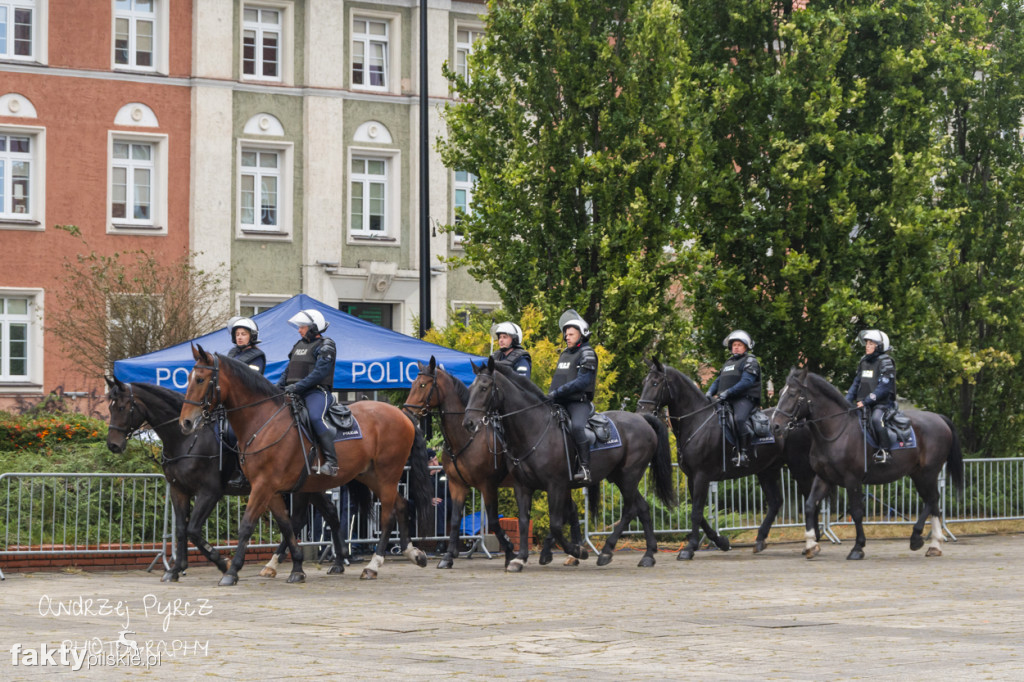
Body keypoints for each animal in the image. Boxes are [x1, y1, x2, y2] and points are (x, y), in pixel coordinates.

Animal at [100, 376, 356, 577]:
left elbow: (193, 530)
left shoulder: (209, 492)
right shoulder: (178, 489)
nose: (113, 445)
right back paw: (336, 560)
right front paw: (176, 569)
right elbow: (182, 530)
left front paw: (222, 563)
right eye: (110, 408)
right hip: (309, 486)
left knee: (301, 519)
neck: (186, 438)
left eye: (122, 407)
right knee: (327, 513)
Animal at [178, 346, 430, 585]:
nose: (186, 422)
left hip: (387, 474)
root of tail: (402, 415)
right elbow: (287, 526)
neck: (263, 422)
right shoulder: (272, 490)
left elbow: (248, 525)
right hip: (369, 475)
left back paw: (373, 565)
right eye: (188, 377)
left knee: (387, 515)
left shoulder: (263, 486)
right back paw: (412, 553)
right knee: (400, 504)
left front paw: (231, 571)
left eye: (200, 379)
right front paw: (296, 568)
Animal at [462, 356, 671, 569]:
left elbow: (555, 524)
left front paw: (577, 551)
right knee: (642, 507)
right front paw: (520, 558)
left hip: (629, 476)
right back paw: (648, 555)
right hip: (619, 477)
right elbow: (524, 521)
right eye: (471, 389)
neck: (534, 429)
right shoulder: (522, 486)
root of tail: (642, 419)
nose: (468, 423)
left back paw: (606, 551)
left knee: (630, 509)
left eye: (484, 388)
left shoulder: (556, 485)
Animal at [634, 356, 819, 557]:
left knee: (809, 498)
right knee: (776, 502)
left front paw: (690, 549)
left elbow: (696, 513)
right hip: (767, 470)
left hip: (799, 466)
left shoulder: (701, 476)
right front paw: (721, 541)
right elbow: (699, 514)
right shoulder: (692, 477)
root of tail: (801, 421)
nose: (641, 413)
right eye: (644, 382)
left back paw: (813, 541)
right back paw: (761, 540)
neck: (697, 421)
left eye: (655, 383)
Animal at [770, 366, 962, 557]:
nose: (775, 426)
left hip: (927, 473)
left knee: (932, 499)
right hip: (918, 474)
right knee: (933, 502)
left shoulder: (852, 479)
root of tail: (939, 418)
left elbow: (856, 512)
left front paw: (857, 547)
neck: (836, 430)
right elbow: (810, 505)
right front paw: (811, 545)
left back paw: (916, 538)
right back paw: (934, 545)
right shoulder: (823, 477)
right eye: (780, 393)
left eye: (793, 394)